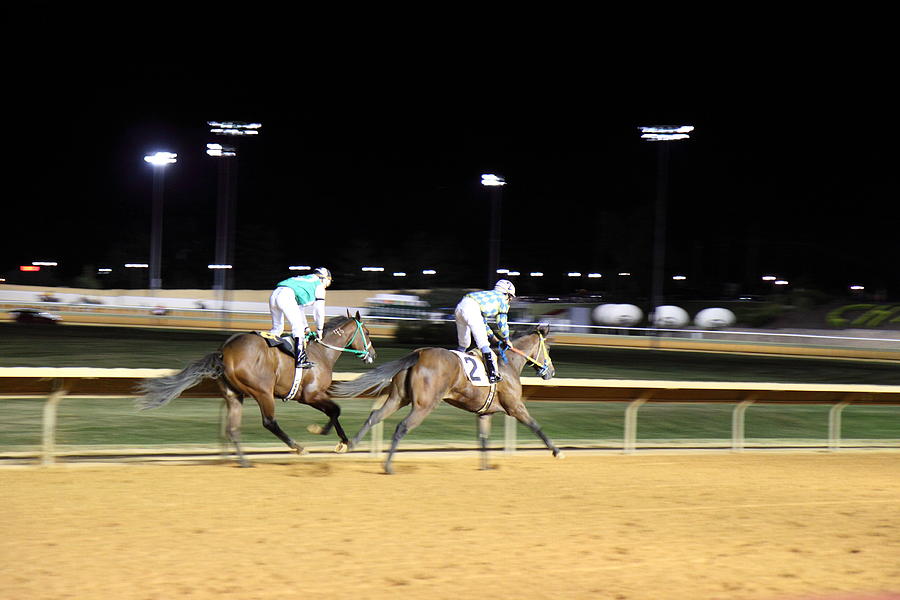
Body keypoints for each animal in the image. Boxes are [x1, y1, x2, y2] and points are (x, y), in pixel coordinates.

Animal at [135, 312, 374, 466]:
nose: (373, 354)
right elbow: (335, 410)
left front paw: (339, 440)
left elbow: (334, 411)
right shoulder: (310, 395)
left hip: (233, 395)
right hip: (263, 391)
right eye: (368, 332)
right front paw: (334, 438)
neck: (321, 353)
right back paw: (298, 447)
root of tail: (224, 350)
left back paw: (244, 461)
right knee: (269, 422)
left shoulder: (312, 396)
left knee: (232, 428)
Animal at [326, 324, 560, 474]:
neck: (507, 363)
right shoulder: (515, 406)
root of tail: (419, 353)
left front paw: (485, 467)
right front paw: (556, 451)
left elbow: (483, 439)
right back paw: (388, 466)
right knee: (402, 426)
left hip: (398, 397)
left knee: (375, 415)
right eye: (548, 348)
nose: (551, 372)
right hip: (424, 405)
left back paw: (351, 444)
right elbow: (535, 425)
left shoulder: (485, 413)